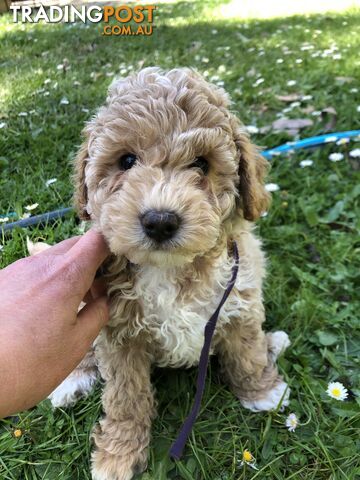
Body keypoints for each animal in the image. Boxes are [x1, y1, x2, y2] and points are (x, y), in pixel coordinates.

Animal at [56, 67, 292, 480]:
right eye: (127, 160)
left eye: (201, 164)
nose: (160, 221)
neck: (172, 269)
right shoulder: (118, 333)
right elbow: (126, 398)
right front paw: (118, 456)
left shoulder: (239, 294)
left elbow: (246, 350)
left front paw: (262, 391)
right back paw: (72, 380)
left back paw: (272, 342)